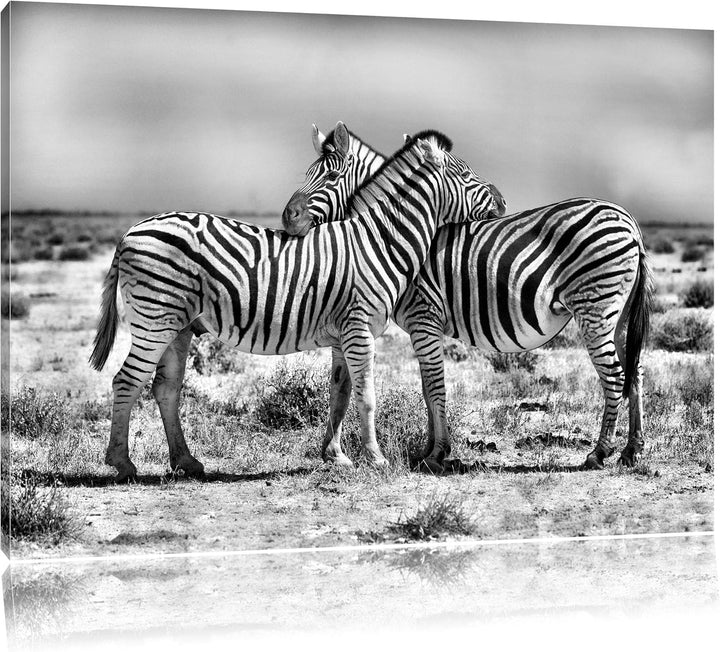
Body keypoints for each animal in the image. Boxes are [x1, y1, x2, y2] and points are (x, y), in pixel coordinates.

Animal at [89, 129, 503, 481]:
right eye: (467, 175)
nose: (501, 201)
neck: (379, 241)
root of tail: (129, 233)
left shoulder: (343, 335)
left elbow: (340, 394)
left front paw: (337, 457)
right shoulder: (359, 329)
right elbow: (367, 395)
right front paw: (376, 458)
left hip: (178, 325)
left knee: (165, 388)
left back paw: (186, 462)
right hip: (155, 318)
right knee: (126, 381)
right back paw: (122, 463)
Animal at [282, 125, 653, 474]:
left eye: (330, 177)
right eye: (306, 174)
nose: (288, 217)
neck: (388, 235)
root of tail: (630, 221)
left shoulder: (423, 316)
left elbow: (434, 386)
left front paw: (437, 454)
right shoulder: (422, 326)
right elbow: (425, 387)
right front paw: (428, 450)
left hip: (595, 307)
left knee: (615, 376)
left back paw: (599, 453)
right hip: (617, 313)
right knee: (634, 371)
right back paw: (632, 450)